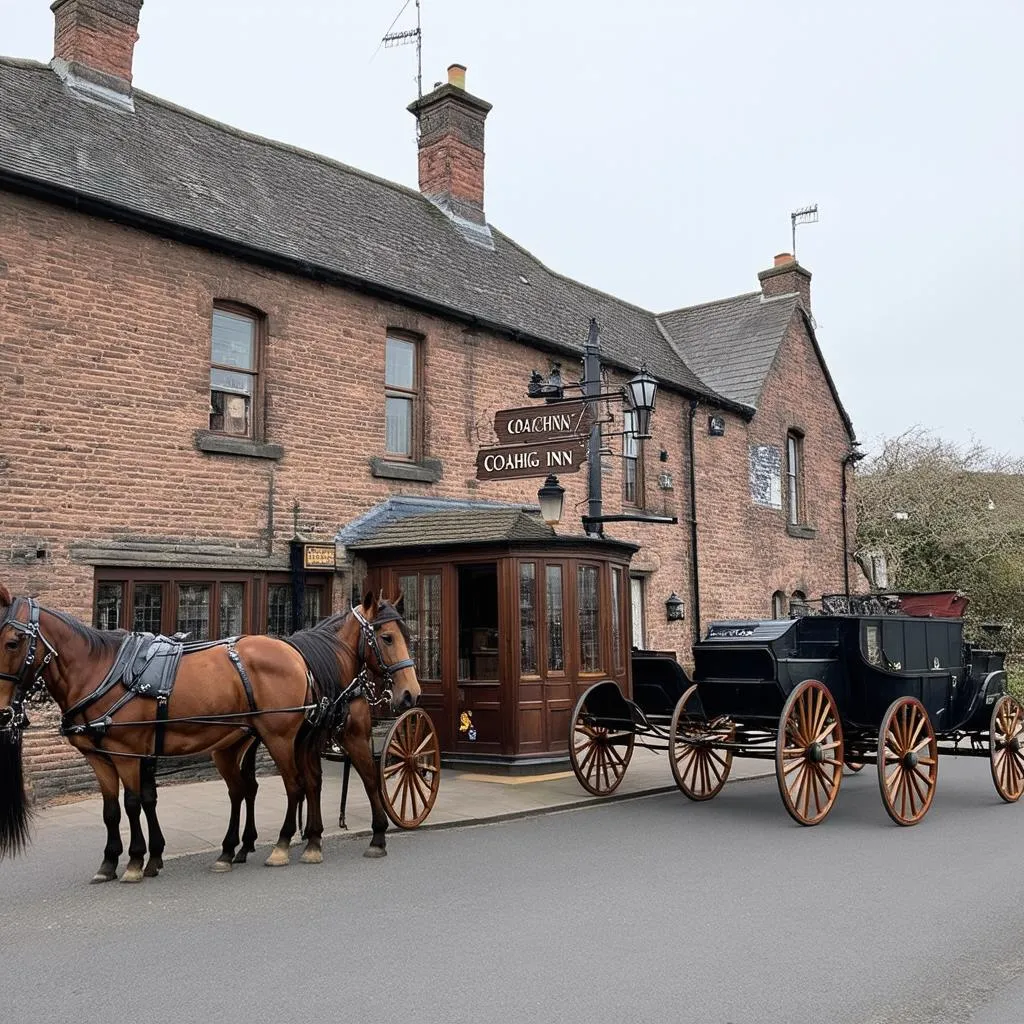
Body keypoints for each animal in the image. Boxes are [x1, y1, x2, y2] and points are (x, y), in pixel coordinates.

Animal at [0, 589, 419, 884]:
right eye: (386, 637)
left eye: (11, 643)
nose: (410, 692)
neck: (103, 671)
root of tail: (294, 652)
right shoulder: (102, 757)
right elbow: (114, 809)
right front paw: (115, 861)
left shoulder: (127, 754)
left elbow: (133, 803)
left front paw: (135, 860)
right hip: (253, 742)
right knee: (266, 787)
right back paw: (269, 845)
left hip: (284, 736)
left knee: (309, 783)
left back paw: (295, 844)